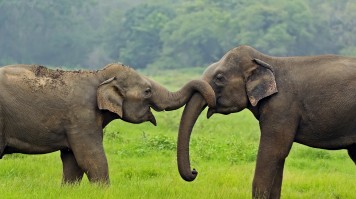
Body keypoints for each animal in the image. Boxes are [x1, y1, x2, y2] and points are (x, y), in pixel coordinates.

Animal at [0, 63, 214, 184]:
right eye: (147, 91)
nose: (195, 171)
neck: (99, 76)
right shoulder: (81, 117)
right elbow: (91, 160)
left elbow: (72, 162)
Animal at [176, 45, 356, 199]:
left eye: (219, 78)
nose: (195, 171)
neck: (266, 60)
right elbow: (278, 159)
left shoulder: (282, 107)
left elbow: (274, 152)